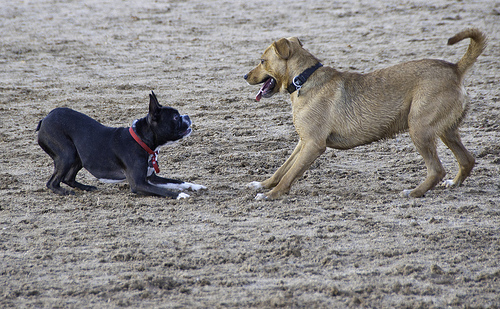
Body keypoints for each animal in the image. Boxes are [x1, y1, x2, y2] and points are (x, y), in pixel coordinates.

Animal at [36, 90, 205, 199]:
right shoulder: (138, 184)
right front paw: (181, 195)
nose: (187, 116)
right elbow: (166, 191)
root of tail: (45, 118)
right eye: (176, 117)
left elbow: (177, 181)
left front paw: (195, 186)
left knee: (68, 178)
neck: (141, 140)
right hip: (67, 154)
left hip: (79, 156)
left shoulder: (151, 178)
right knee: (52, 182)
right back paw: (65, 192)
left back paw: (87, 187)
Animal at [244, 28, 486, 197]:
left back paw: (414, 192)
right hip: (446, 131)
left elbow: (290, 174)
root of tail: (455, 69)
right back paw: (453, 183)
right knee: (467, 160)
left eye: (262, 61)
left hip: (420, 129)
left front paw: (271, 194)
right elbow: (282, 168)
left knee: (436, 170)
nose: (244, 76)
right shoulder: (303, 142)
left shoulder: (313, 144)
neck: (303, 78)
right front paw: (263, 184)